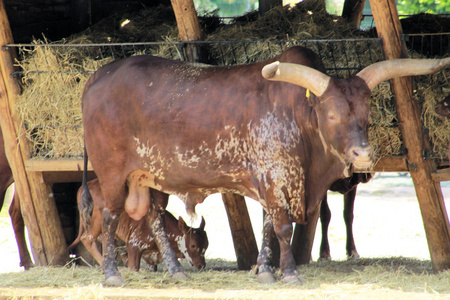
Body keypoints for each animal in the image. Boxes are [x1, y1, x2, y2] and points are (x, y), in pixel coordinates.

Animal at [69, 178, 210, 272]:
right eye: (193, 245)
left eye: (206, 245)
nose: (201, 265)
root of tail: (87, 186)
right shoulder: (134, 245)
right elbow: (133, 266)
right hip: (97, 223)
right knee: (87, 239)